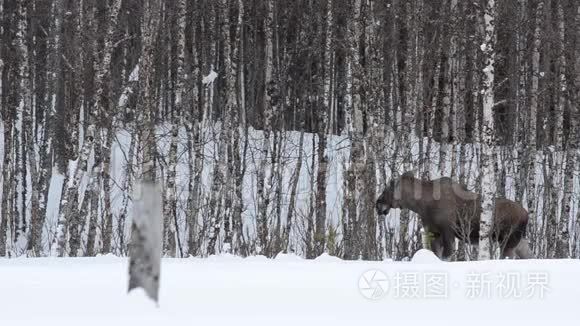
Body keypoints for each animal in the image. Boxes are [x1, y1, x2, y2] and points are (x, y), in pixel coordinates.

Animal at [376, 172, 536, 262]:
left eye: (386, 190)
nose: (378, 205)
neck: (422, 205)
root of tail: (526, 215)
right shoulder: (434, 232)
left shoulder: (448, 231)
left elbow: (447, 255)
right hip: (519, 240)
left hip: (508, 239)